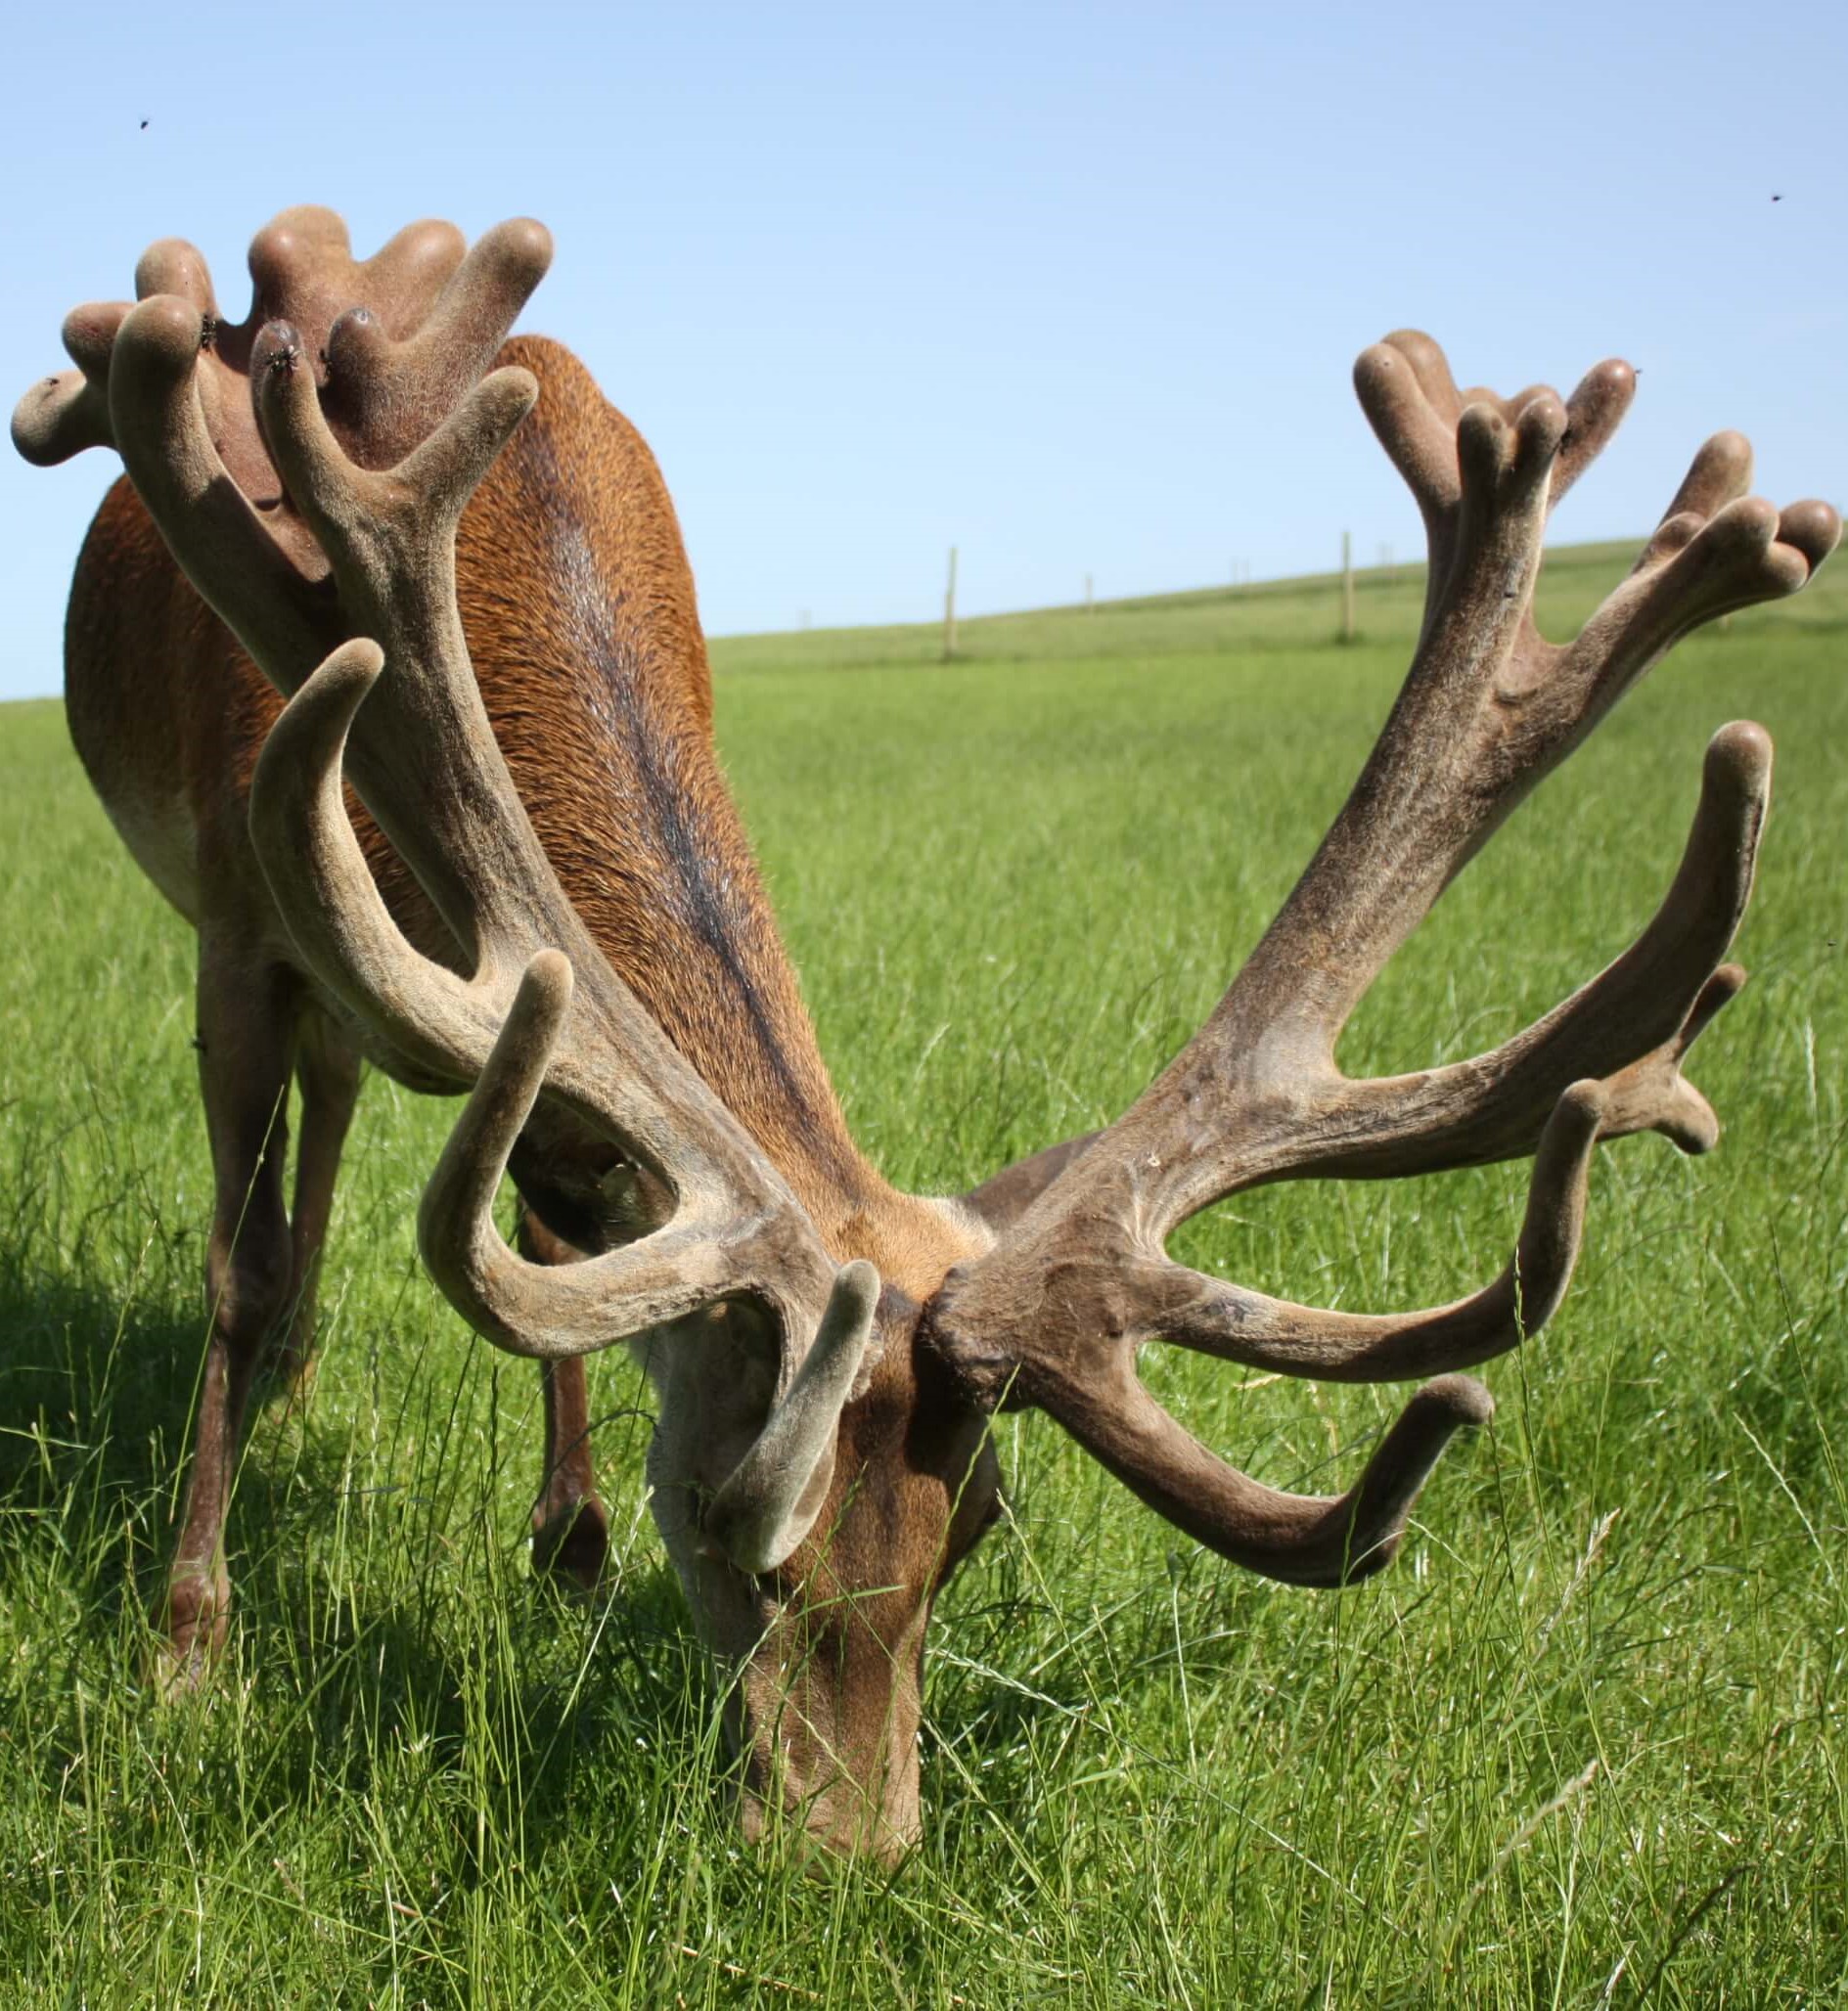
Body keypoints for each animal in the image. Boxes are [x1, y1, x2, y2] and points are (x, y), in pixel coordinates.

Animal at [13, 208, 1839, 1863]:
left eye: (966, 1528)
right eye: (721, 1525)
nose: (848, 1856)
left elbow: (546, 1252)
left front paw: (569, 1554)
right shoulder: (243, 914)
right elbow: (239, 1268)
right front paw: (188, 1653)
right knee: (295, 1200)